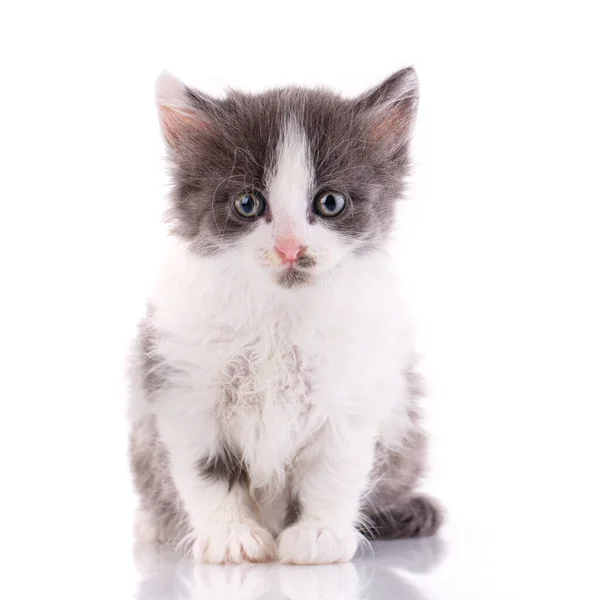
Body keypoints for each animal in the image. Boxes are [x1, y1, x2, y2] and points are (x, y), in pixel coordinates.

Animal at [129, 68, 442, 564]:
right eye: (247, 204)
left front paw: (319, 534)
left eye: (330, 203)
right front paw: (231, 536)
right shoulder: (183, 387)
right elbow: (207, 473)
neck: (278, 315)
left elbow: (333, 470)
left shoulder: (352, 393)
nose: (290, 248)